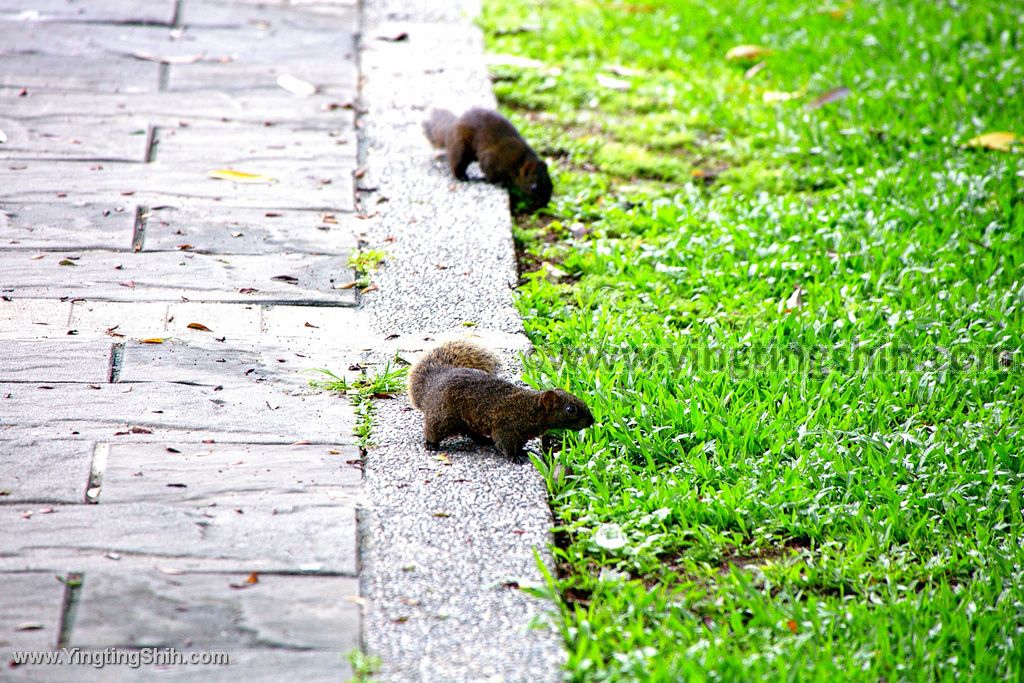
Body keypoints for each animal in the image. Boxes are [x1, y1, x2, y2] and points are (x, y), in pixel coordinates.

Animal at [405, 339, 593, 462]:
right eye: (570, 409)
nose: (591, 421)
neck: (529, 408)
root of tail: (434, 382)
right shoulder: (506, 427)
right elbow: (504, 444)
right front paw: (515, 457)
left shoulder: (520, 434)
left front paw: (523, 451)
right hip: (444, 415)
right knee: (433, 429)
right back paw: (431, 444)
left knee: (471, 433)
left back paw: (484, 440)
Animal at [421, 108, 557, 209]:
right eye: (533, 187)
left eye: (551, 185)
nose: (544, 204)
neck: (519, 159)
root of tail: (450, 129)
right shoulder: (494, 159)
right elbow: (490, 175)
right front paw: (495, 182)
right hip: (461, 149)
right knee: (456, 165)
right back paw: (464, 177)